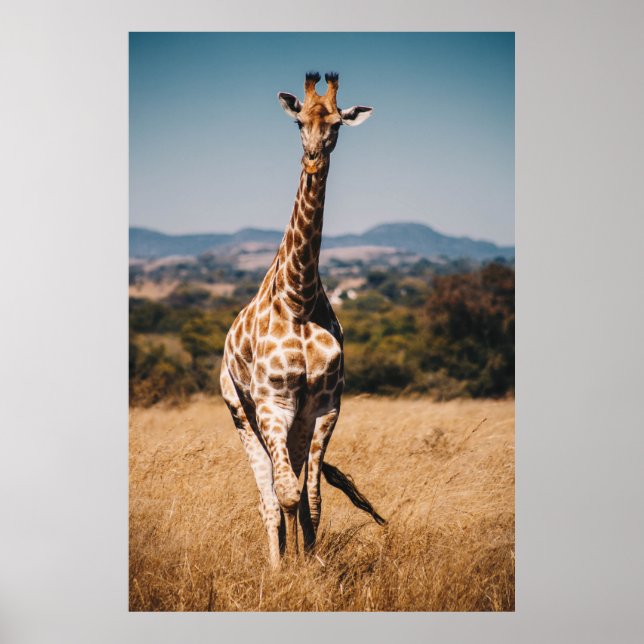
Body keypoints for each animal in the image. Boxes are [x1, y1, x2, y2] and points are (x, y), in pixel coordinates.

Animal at [220, 72, 384, 569]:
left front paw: (313, 566)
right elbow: (286, 494)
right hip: (241, 411)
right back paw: (276, 565)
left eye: (337, 123)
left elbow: (311, 498)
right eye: (298, 122)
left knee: (291, 484)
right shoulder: (273, 403)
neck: (300, 298)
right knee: (269, 497)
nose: (312, 159)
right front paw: (288, 572)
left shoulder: (325, 407)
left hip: (293, 422)